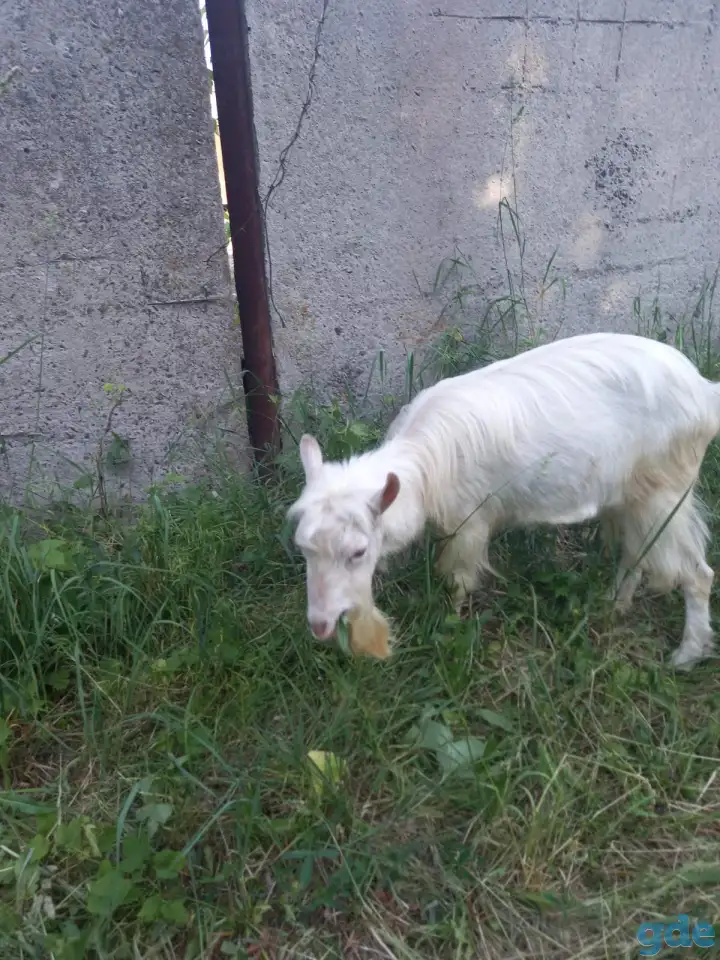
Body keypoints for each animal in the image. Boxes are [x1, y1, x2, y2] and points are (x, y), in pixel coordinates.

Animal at [288, 332, 720, 669]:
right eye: (304, 548)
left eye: (359, 552)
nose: (320, 626)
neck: (425, 463)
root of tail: (705, 391)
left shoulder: (468, 522)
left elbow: (458, 579)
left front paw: (450, 622)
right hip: (630, 495)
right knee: (635, 552)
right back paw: (615, 605)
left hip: (666, 491)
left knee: (697, 573)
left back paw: (686, 654)